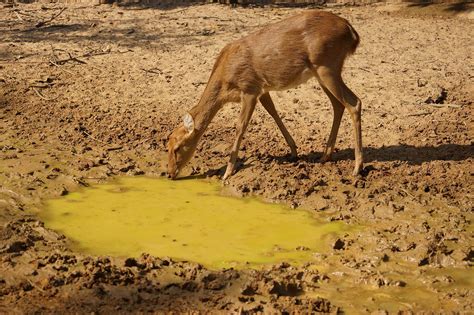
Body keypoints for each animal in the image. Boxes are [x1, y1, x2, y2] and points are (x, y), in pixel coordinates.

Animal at [168, 9, 362, 180]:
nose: (170, 174)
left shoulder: (249, 88)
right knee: (338, 105)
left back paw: (357, 167)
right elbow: (273, 112)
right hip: (322, 72)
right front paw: (293, 151)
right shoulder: (263, 90)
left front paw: (228, 172)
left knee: (354, 102)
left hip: (327, 66)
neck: (225, 82)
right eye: (167, 144)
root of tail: (351, 31)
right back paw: (325, 156)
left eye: (177, 147)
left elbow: (240, 126)